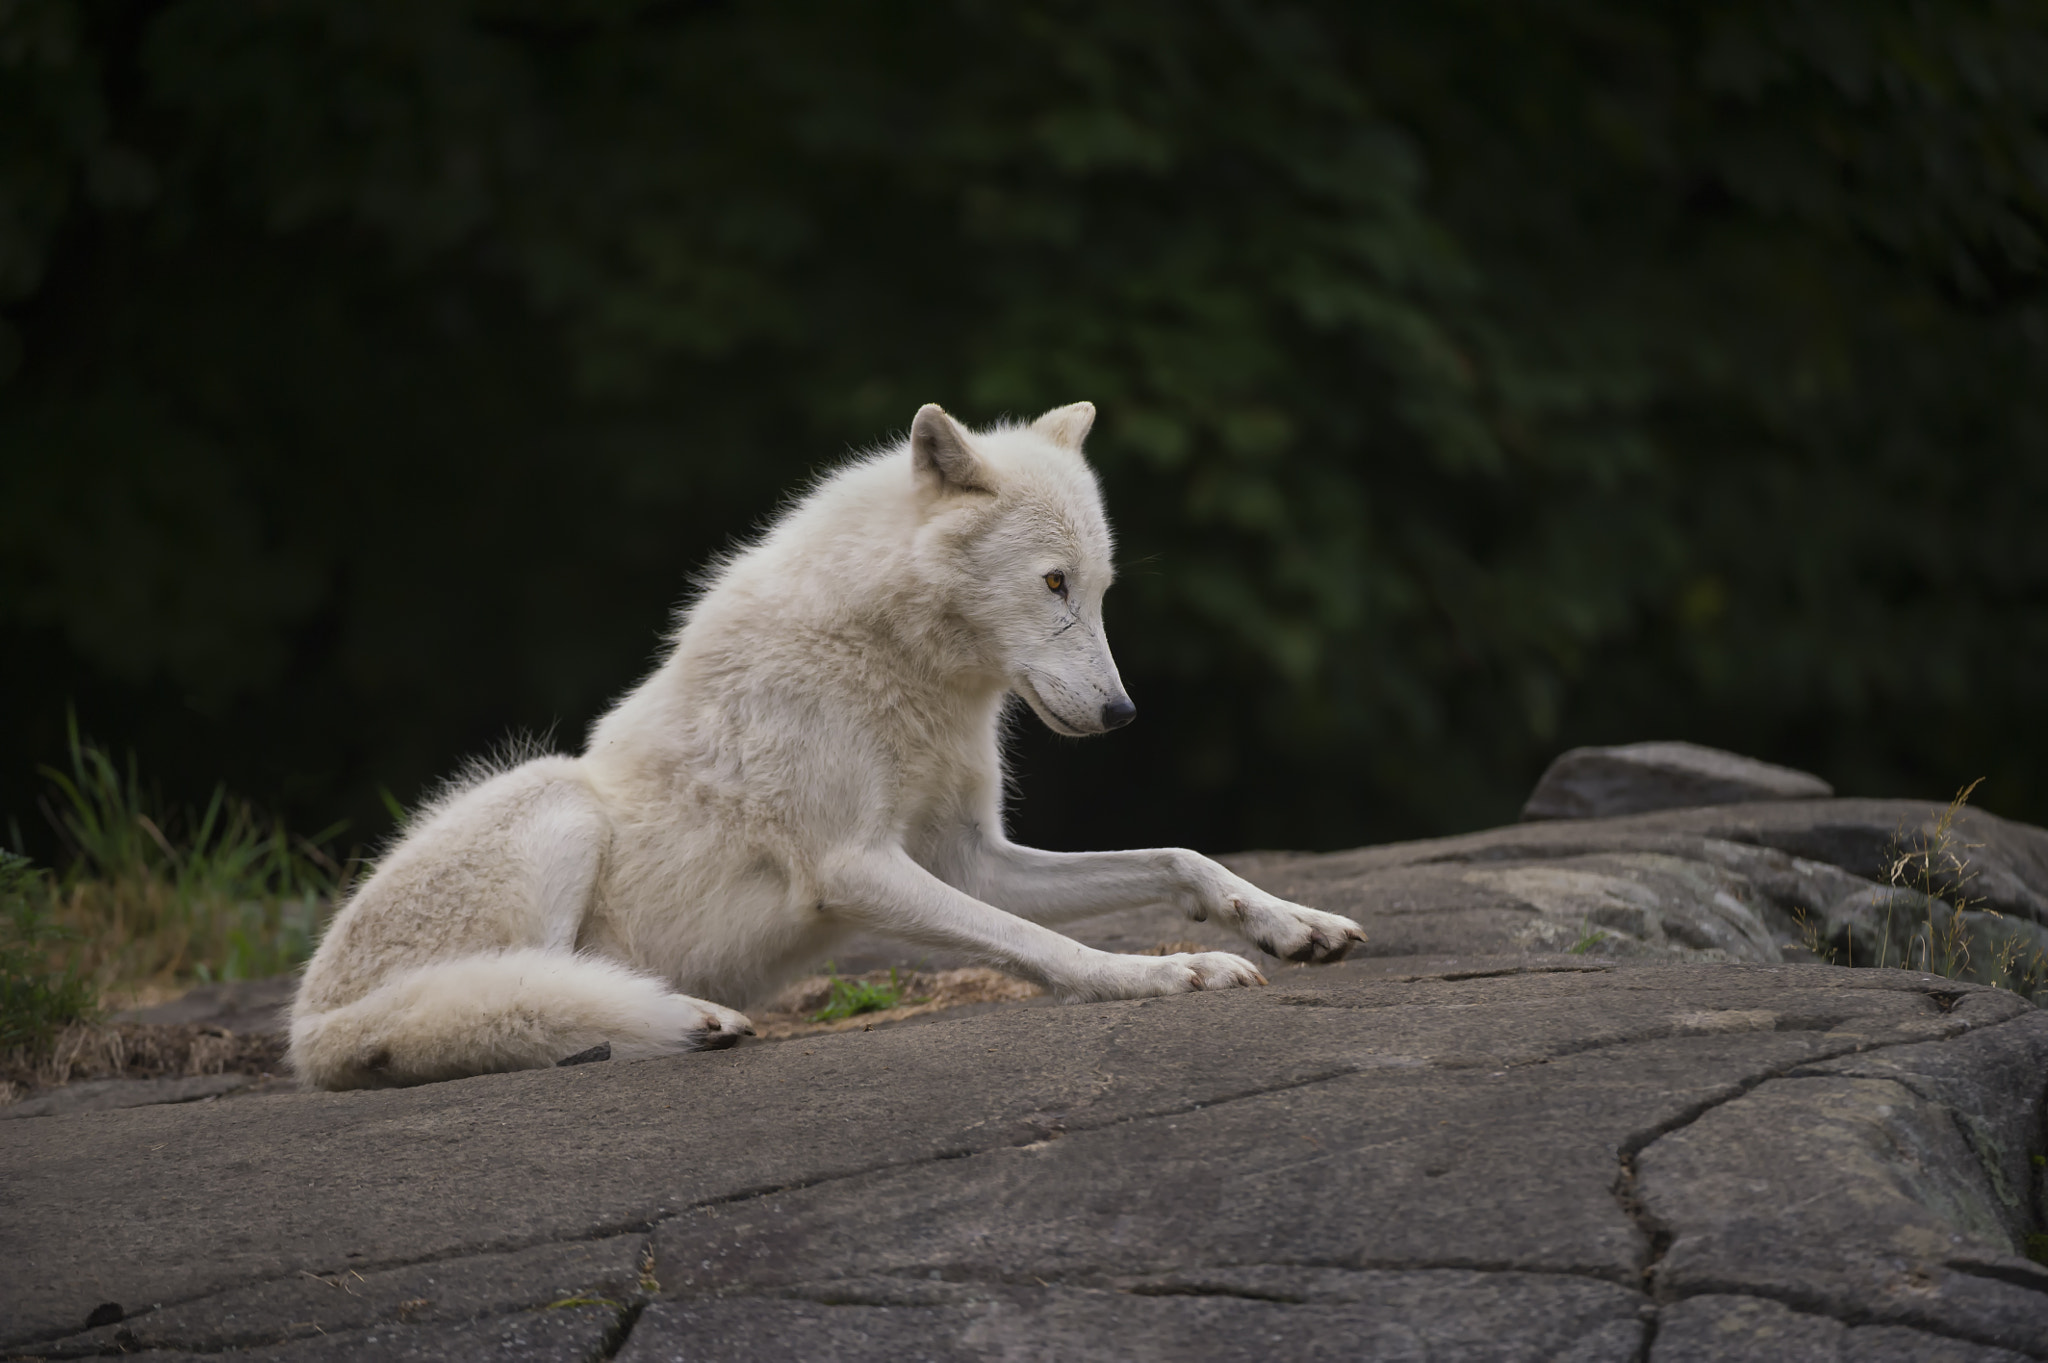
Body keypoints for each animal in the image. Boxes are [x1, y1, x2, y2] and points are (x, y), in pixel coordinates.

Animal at [284, 401, 1359, 1080]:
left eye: (1100, 590)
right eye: (1053, 583)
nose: (1122, 715)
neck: (895, 664)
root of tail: (304, 1026)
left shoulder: (972, 857)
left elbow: (1178, 855)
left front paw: (1287, 921)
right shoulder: (854, 864)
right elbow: (1040, 943)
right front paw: (1155, 974)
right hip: (555, 799)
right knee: (506, 999)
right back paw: (673, 1019)